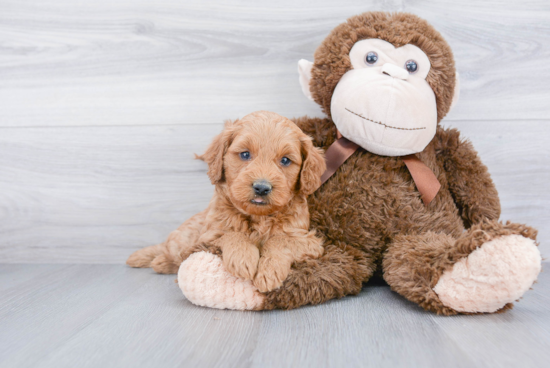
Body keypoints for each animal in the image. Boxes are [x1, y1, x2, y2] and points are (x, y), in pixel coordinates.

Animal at [128, 112, 328, 294]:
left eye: (285, 160)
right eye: (245, 154)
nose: (262, 188)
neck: (258, 218)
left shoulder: (308, 240)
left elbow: (280, 239)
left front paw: (269, 272)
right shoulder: (208, 236)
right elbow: (232, 234)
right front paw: (244, 258)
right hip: (183, 240)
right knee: (171, 250)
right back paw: (157, 260)